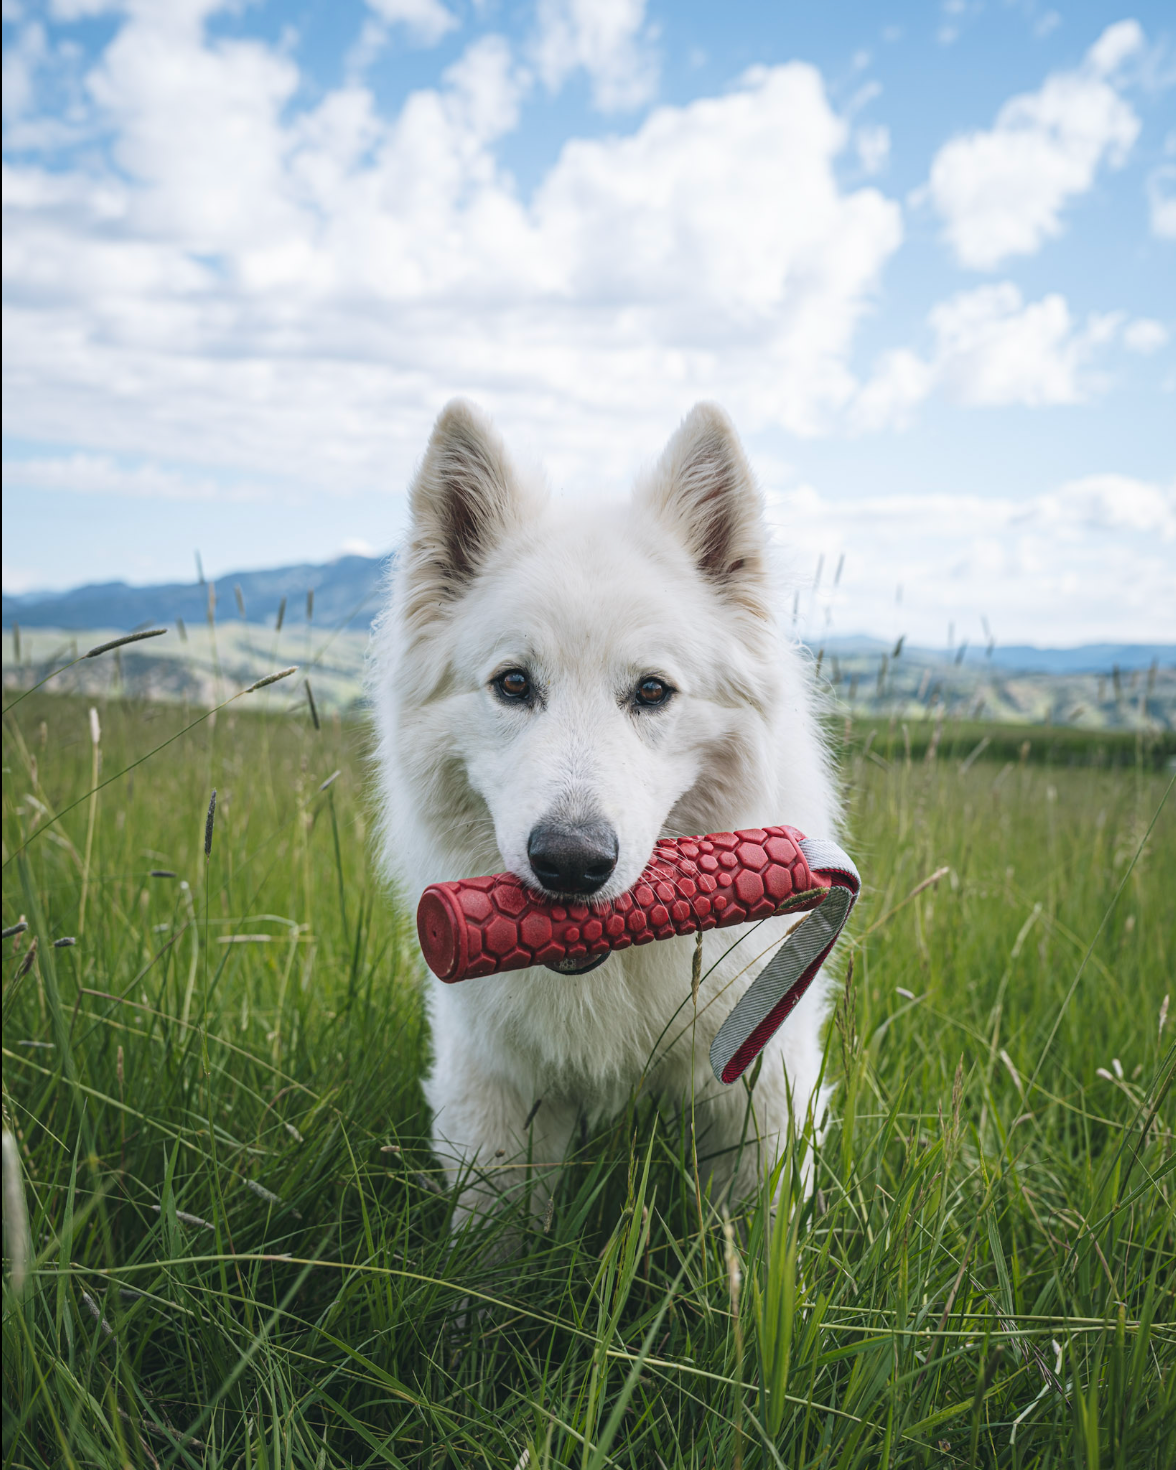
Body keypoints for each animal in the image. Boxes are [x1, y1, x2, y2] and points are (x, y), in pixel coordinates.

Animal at [370, 400, 840, 1226]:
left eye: (652, 691)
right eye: (513, 683)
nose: (571, 861)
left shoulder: (761, 1086)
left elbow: (753, 1235)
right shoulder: (493, 1095)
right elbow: (490, 1240)